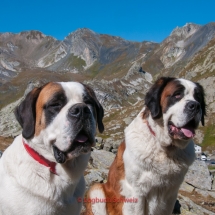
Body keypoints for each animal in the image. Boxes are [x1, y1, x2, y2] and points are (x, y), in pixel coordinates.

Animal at [85, 77, 206, 215]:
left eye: (198, 98)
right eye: (177, 95)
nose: (195, 105)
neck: (164, 147)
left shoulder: (170, 195)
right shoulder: (136, 192)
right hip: (96, 190)